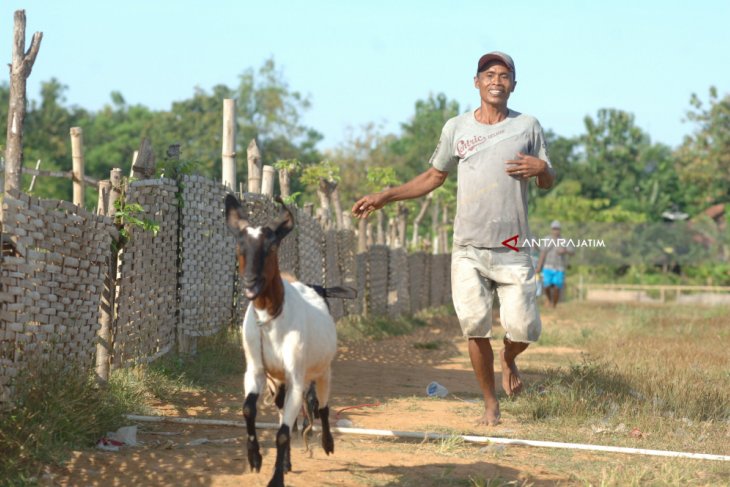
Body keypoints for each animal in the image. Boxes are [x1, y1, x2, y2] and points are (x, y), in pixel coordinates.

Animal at [228, 194, 352, 487]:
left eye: (271, 246)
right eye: (240, 244)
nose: (250, 282)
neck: (271, 319)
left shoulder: (296, 376)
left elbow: (284, 432)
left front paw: (275, 479)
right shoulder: (257, 371)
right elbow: (249, 409)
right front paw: (255, 458)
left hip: (322, 371)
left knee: (322, 407)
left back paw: (327, 443)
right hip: (280, 382)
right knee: (289, 413)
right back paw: (285, 462)